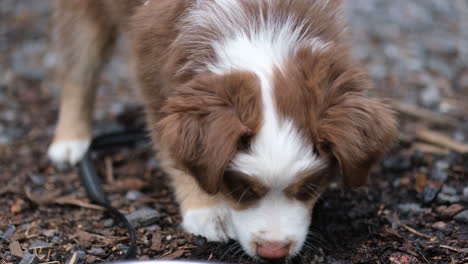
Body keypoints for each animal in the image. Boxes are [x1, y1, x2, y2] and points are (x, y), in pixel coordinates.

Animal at [48, 0, 398, 260]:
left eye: (310, 186)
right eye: (240, 188)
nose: (273, 253)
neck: (259, 27)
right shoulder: (156, 78)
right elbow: (176, 156)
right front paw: (205, 210)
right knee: (78, 71)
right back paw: (70, 141)